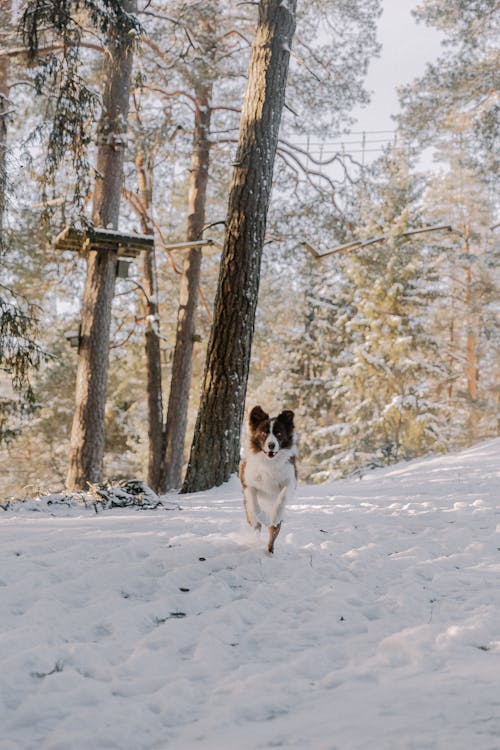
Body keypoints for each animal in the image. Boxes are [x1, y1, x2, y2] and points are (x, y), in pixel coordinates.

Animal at [238, 408, 296, 556]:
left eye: (279, 433)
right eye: (264, 433)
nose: (271, 445)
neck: (269, 462)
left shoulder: (290, 479)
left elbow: (282, 497)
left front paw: (274, 517)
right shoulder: (249, 483)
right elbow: (254, 504)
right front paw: (264, 517)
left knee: (273, 531)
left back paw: (270, 548)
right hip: (248, 509)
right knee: (255, 523)